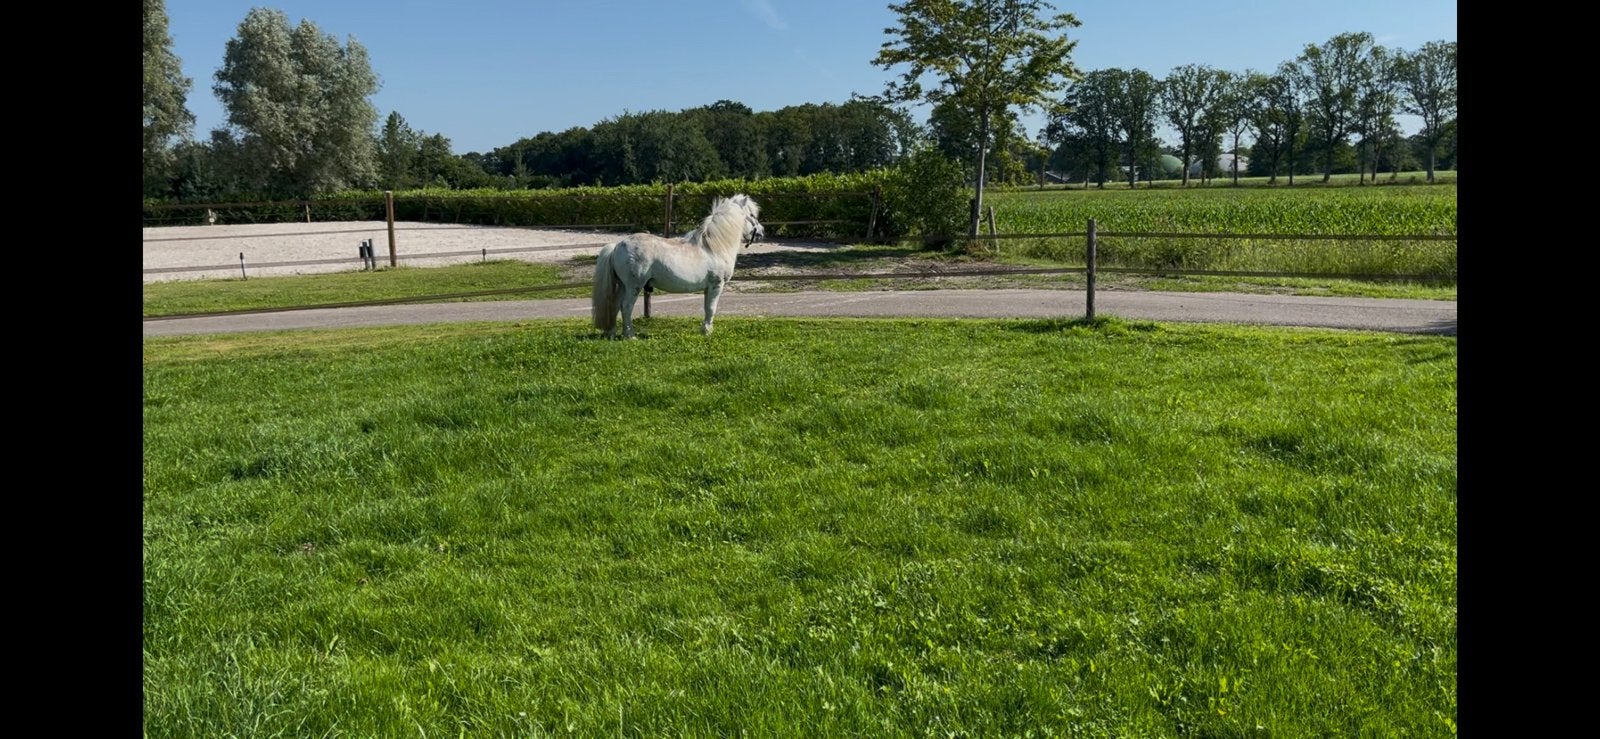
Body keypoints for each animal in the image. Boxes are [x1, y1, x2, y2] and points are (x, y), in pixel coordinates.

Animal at [592, 193, 764, 339]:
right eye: (752, 215)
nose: (761, 232)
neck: (713, 248)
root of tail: (617, 245)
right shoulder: (716, 285)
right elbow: (711, 309)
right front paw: (708, 332)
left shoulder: (707, 288)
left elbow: (706, 308)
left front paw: (704, 330)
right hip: (634, 286)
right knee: (626, 307)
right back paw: (630, 336)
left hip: (622, 286)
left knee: (614, 305)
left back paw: (612, 334)